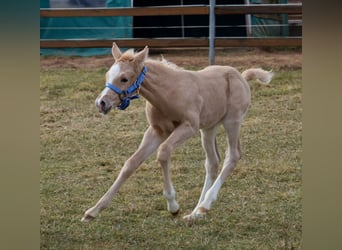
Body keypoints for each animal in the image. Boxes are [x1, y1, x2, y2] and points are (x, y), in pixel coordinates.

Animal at [82, 44, 272, 222]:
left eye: (124, 78)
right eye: (107, 75)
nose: (101, 103)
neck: (168, 93)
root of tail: (241, 76)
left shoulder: (189, 127)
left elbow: (163, 152)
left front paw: (173, 206)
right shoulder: (157, 131)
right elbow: (131, 164)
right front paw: (93, 211)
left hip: (232, 121)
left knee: (232, 156)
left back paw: (205, 205)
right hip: (208, 128)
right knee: (212, 162)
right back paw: (196, 212)